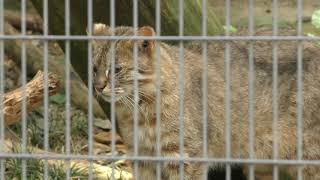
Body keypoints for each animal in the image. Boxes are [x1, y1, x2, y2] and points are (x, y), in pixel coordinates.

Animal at [90, 23, 320, 179]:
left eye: (116, 69)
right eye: (94, 68)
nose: (98, 86)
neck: (138, 110)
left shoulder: (185, 156)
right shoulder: (143, 156)